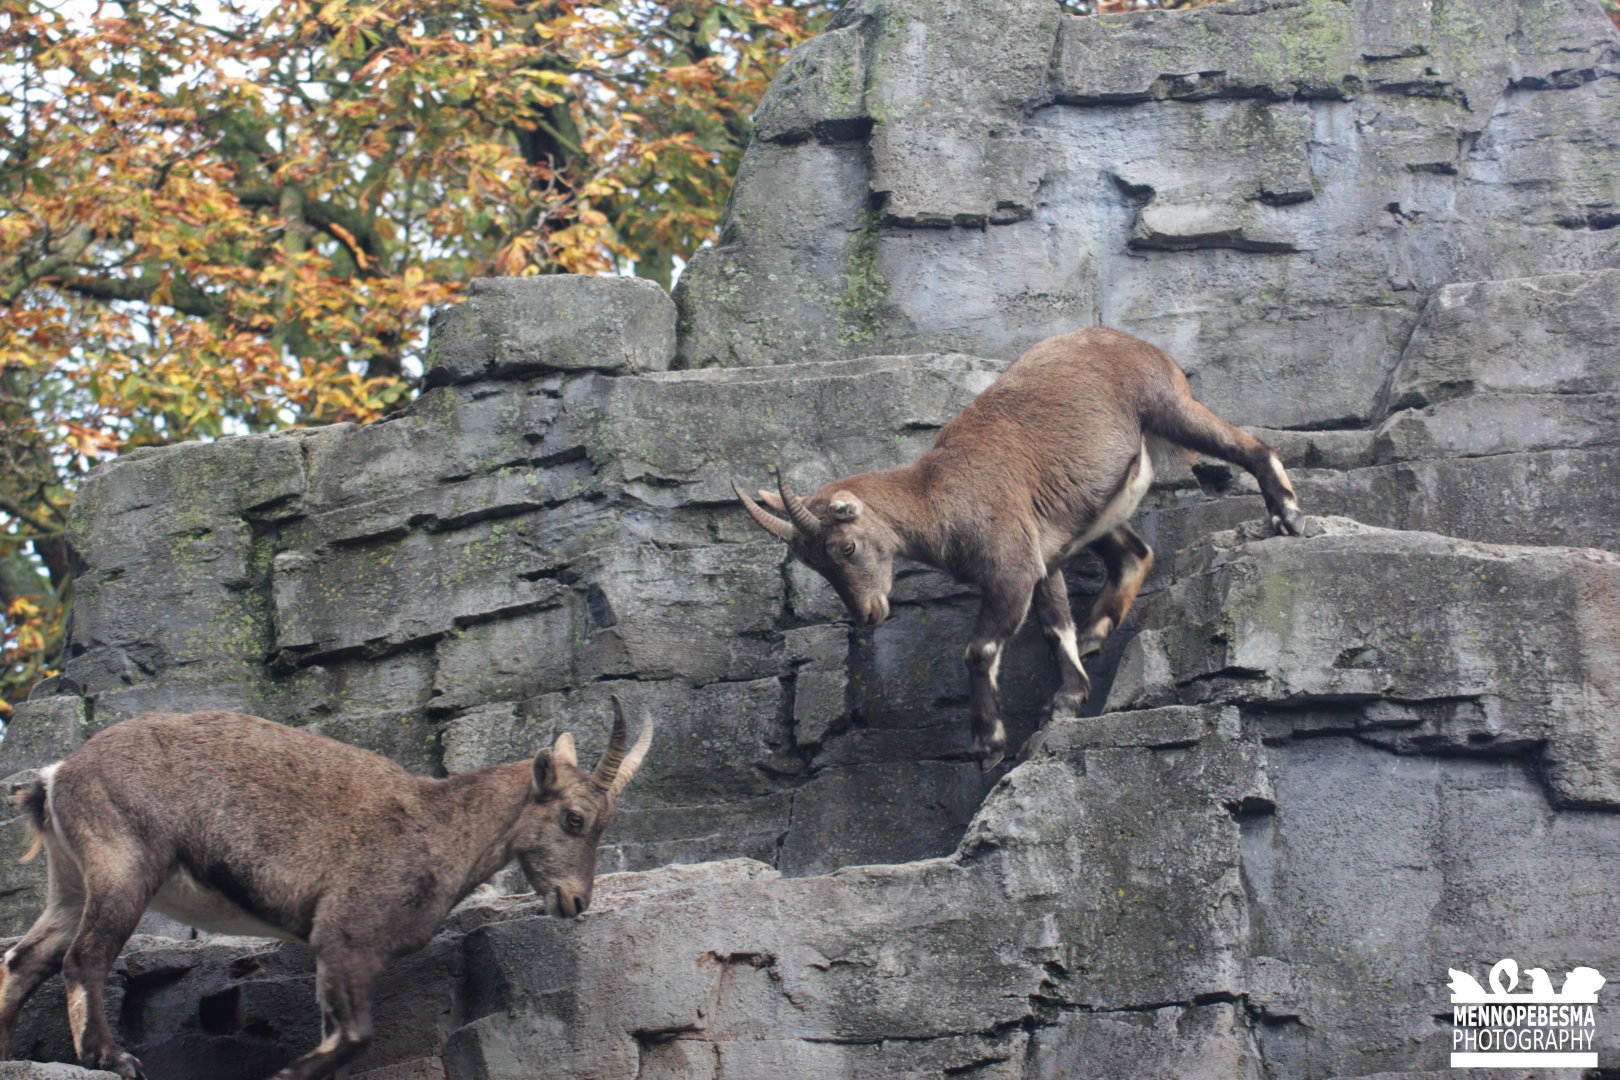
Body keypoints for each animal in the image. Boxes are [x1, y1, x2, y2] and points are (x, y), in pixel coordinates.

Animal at [0, 703, 652, 1080]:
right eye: (574, 818)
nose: (575, 900)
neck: (443, 824)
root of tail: (58, 775)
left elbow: (337, 1033)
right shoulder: (345, 935)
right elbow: (355, 1035)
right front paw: (286, 1075)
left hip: (72, 882)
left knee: (25, 958)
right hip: (124, 864)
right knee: (84, 956)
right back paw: (111, 1058)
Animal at [735, 327, 1303, 770]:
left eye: (846, 547)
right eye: (812, 563)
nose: (868, 613)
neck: (939, 492)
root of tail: (1143, 345)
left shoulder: (1012, 569)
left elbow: (980, 648)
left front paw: (990, 744)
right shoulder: (1039, 559)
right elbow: (1054, 625)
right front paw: (1069, 698)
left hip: (1168, 407)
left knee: (1250, 447)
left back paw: (1287, 515)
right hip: (1091, 509)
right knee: (1134, 553)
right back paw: (1095, 633)